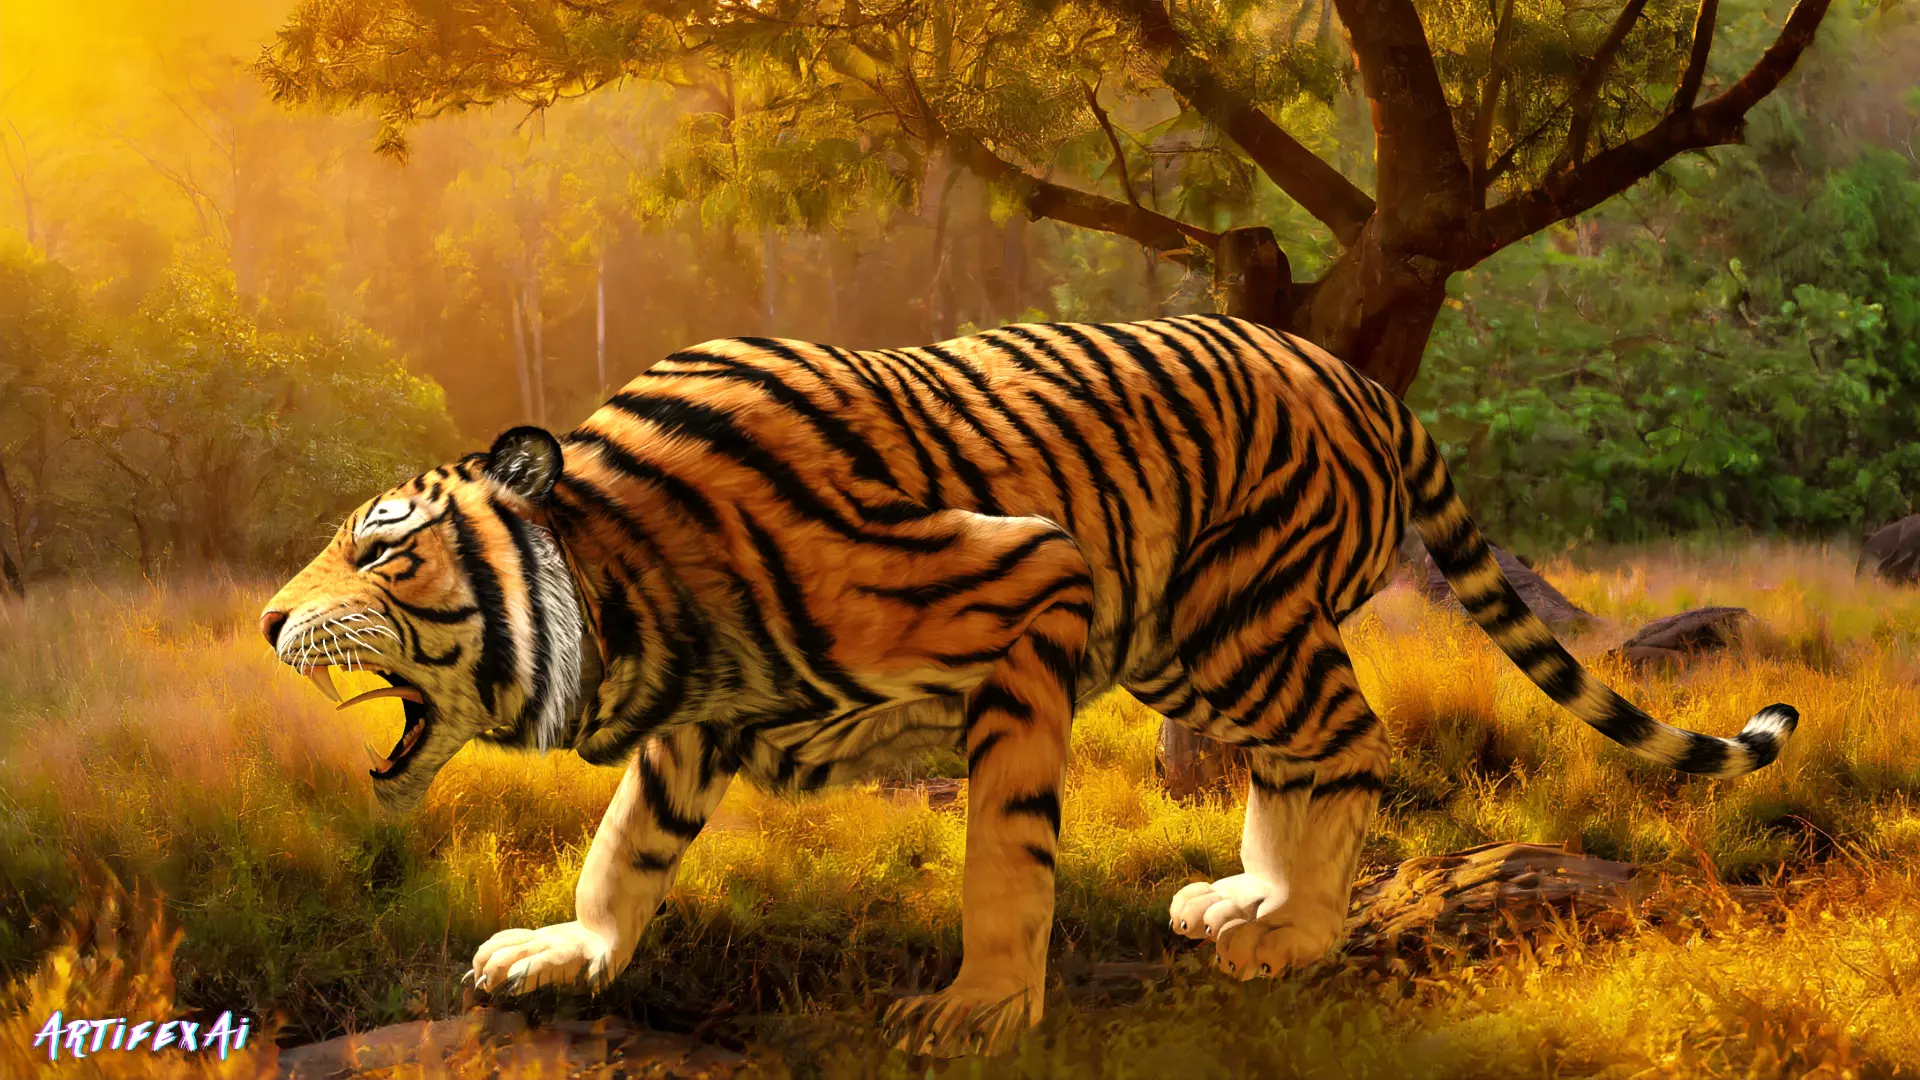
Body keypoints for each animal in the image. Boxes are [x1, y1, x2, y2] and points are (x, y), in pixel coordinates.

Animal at [260, 314, 1797, 1056]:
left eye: (382, 547)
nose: (269, 617)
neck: (635, 604)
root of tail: (1365, 377)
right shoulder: (698, 722)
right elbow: (621, 853)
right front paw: (565, 958)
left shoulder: (1027, 588)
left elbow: (1004, 856)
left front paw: (981, 1013)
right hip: (1198, 634)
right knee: (1297, 759)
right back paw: (1244, 903)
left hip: (1235, 617)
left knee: (1345, 740)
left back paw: (1295, 936)